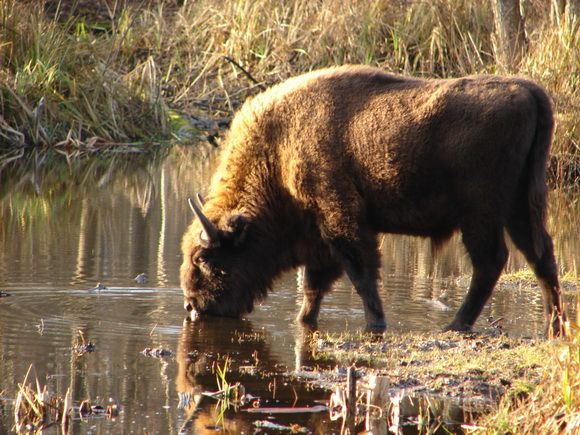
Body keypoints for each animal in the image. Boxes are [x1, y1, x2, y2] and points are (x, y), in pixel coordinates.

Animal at [180, 65, 560, 334]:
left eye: (204, 258)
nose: (192, 306)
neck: (278, 150)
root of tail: (525, 89)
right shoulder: (319, 237)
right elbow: (316, 285)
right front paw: (305, 321)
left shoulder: (341, 220)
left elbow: (360, 272)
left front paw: (375, 322)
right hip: (519, 207)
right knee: (540, 255)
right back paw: (553, 325)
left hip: (481, 214)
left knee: (491, 262)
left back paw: (456, 324)